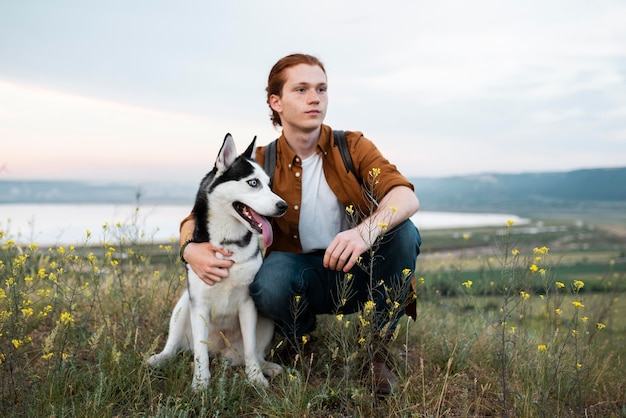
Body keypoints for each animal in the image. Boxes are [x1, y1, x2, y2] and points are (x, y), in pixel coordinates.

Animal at [149, 134, 288, 388]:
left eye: (269, 184)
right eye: (253, 183)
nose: (283, 206)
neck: (227, 243)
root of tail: (222, 352)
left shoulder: (248, 304)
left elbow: (251, 348)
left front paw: (256, 377)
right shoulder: (199, 303)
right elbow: (200, 352)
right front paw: (201, 383)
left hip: (266, 319)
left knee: (254, 352)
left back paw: (267, 367)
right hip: (183, 304)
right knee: (176, 346)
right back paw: (161, 358)